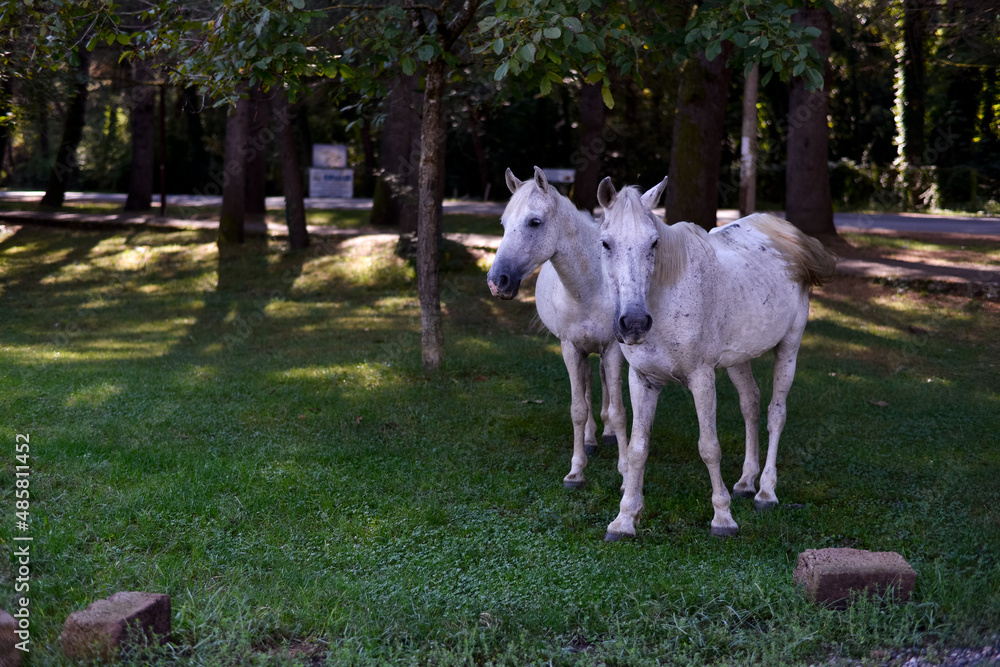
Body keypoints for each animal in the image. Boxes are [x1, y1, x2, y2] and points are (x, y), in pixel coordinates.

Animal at [487, 167, 628, 488]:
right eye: (503, 223)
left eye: (534, 222)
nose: (497, 281)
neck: (591, 287)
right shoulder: (571, 348)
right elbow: (578, 408)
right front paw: (576, 471)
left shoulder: (612, 347)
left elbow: (618, 409)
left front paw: (626, 469)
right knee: (587, 387)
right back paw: (591, 439)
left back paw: (608, 435)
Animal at [596, 176, 836, 540]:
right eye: (605, 244)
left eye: (654, 243)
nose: (634, 323)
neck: (664, 301)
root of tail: (786, 233)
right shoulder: (641, 380)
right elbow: (638, 448)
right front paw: (624, 519)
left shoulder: (702, 378)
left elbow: (709, 447)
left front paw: (723, 518)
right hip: (738, 359)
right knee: (750, 403)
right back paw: (746, 481)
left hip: (789, 348)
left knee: (775, 413)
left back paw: (766, 492)